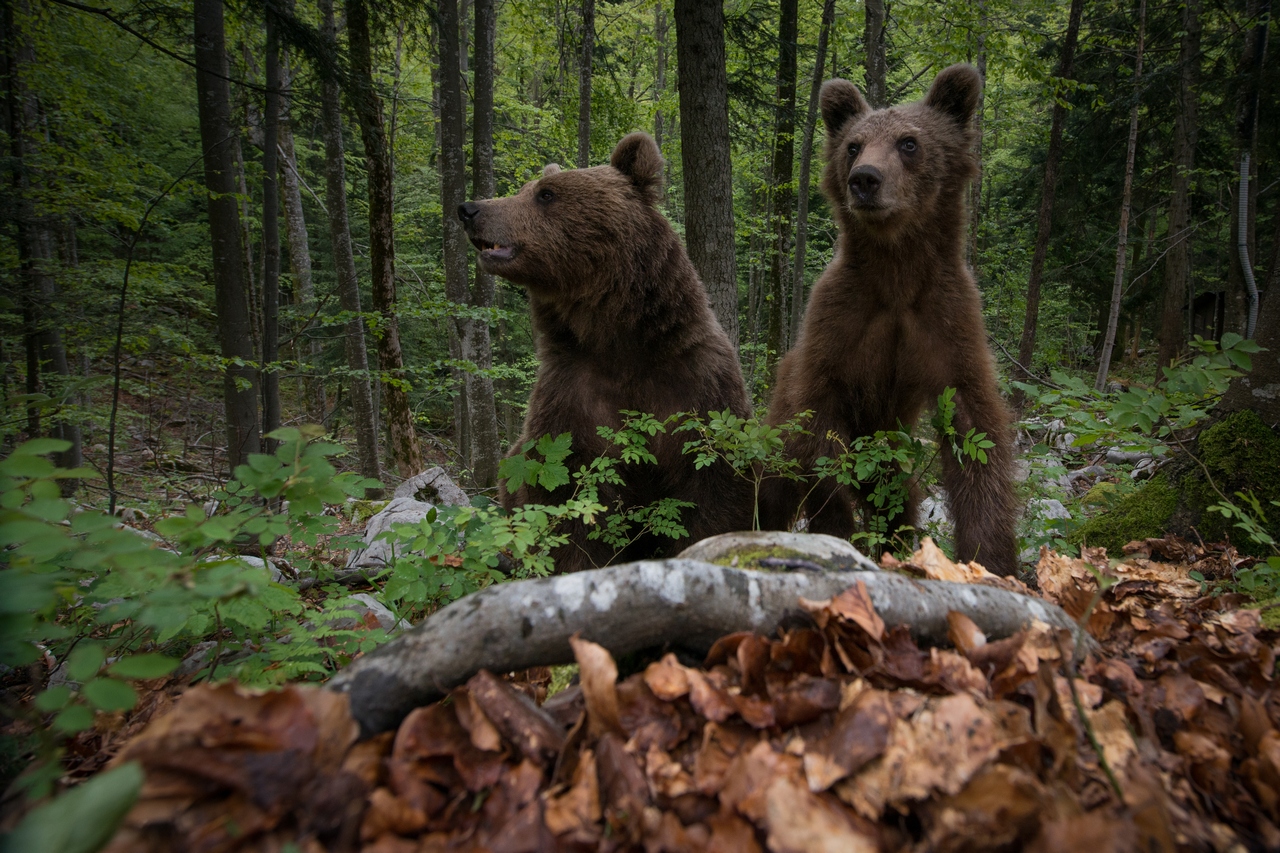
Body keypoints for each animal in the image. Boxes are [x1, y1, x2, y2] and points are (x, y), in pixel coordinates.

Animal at [458, 131, 754, 573]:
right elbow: (567, 494)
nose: (470, 209)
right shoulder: (572, 392)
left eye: (546, 193)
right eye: (527, 188)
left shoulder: (696, 384)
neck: (617, 340)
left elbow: (714, 489)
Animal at [761, 64, 1019, 576]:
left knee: (900, 489)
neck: (897, 271)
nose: (865, 179)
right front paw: (838, 526)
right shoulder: (841, 323)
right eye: (853, 145)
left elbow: (976, 431)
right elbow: (818, 434)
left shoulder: (945, 322)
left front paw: (991, 557)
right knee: (776, 484)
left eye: (909, 142)